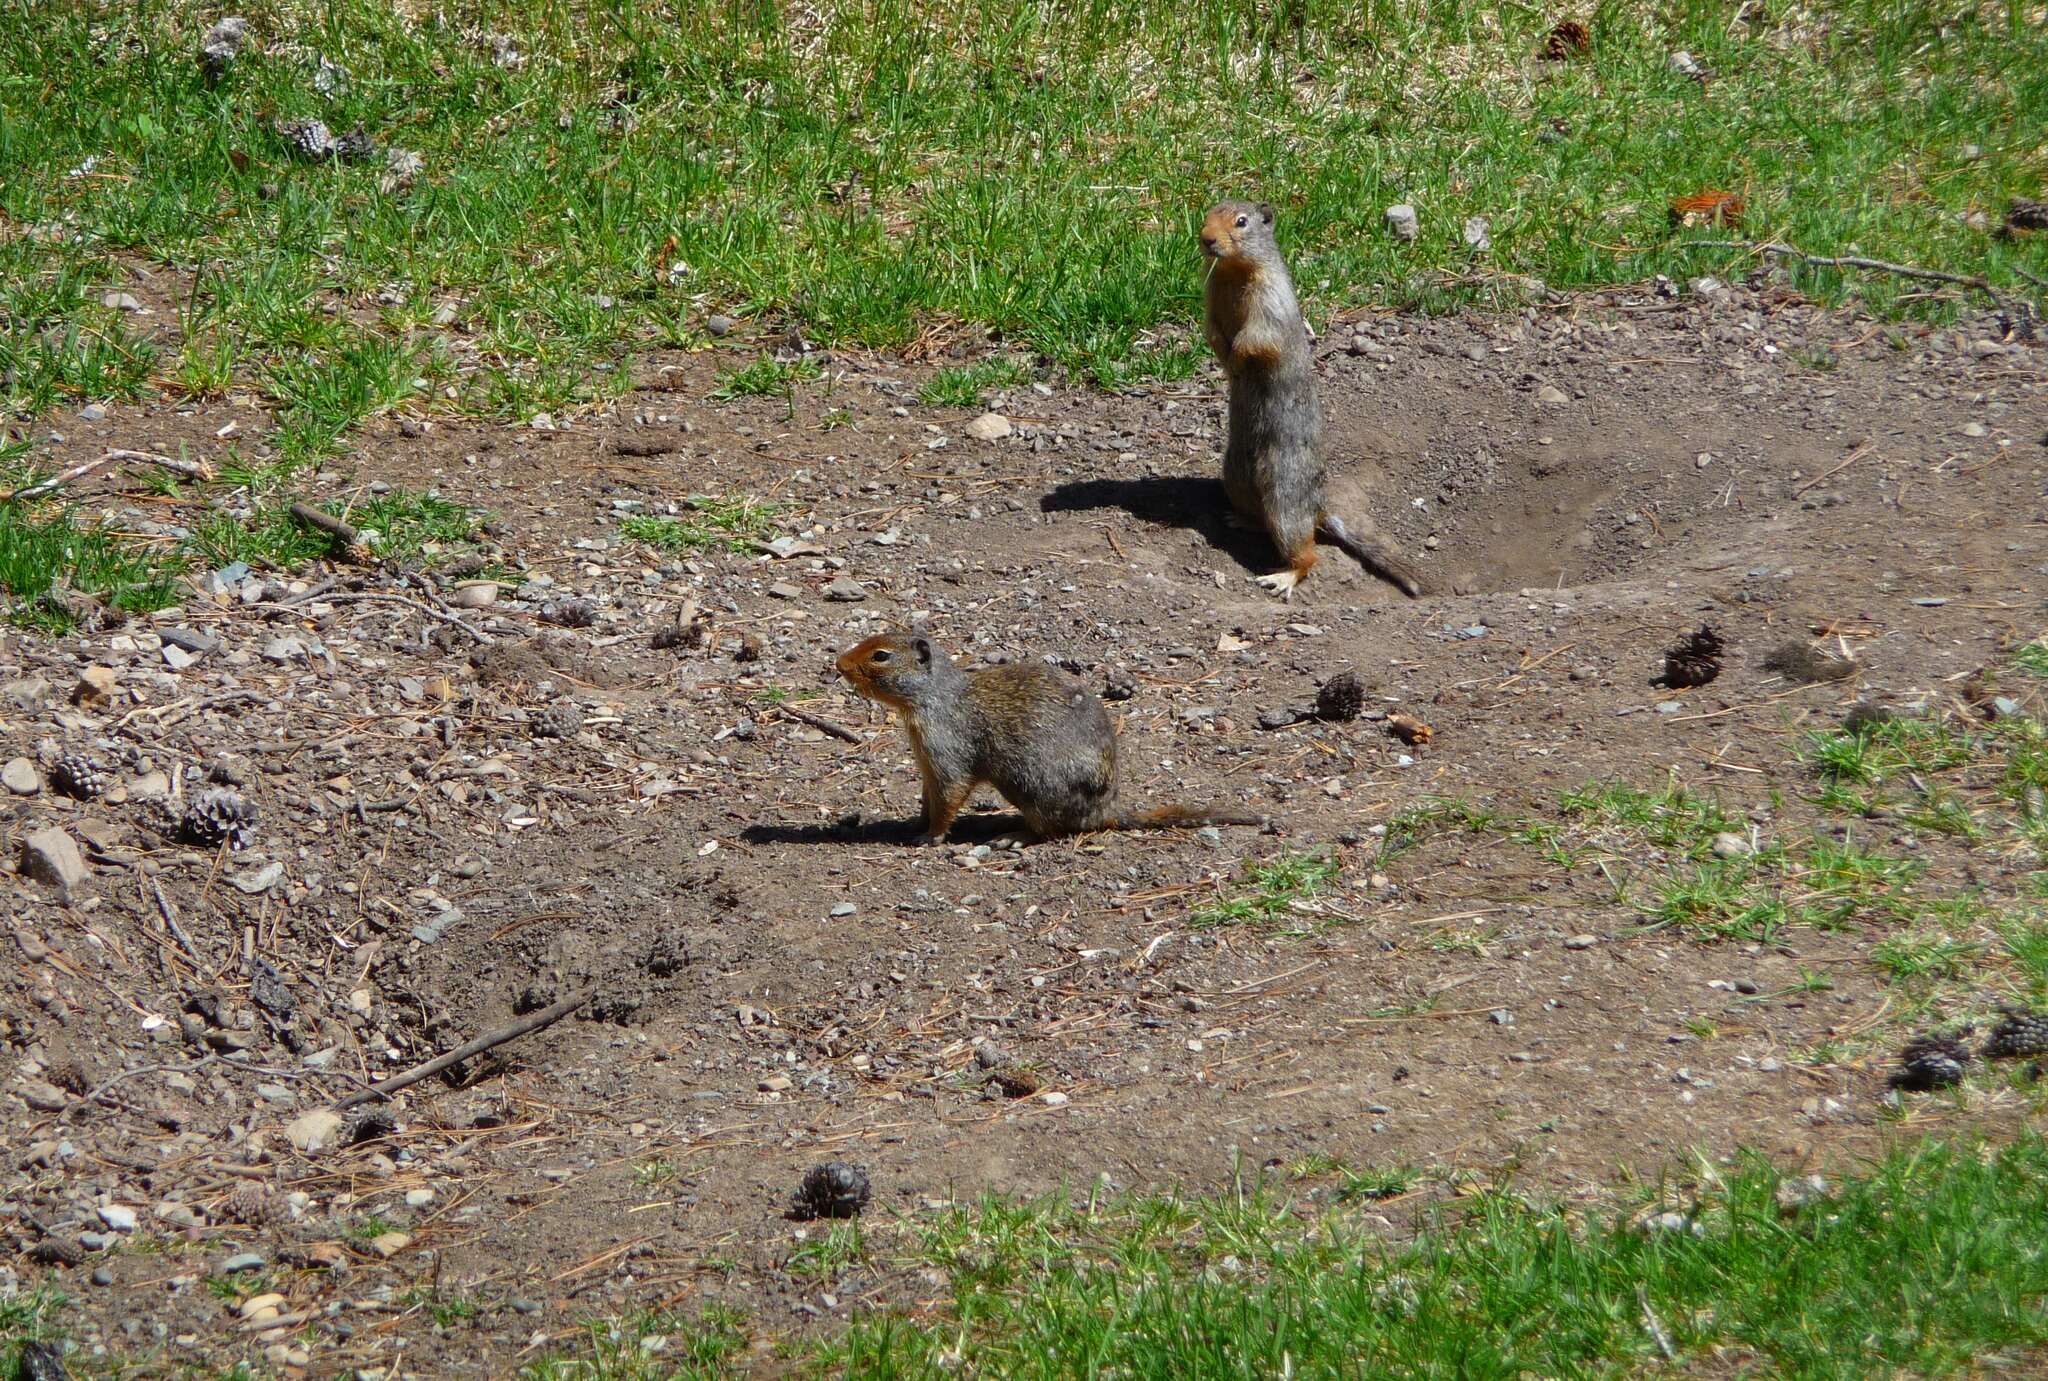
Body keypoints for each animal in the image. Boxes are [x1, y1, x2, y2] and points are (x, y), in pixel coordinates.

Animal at [831, 631, 1261, 840]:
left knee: (1050, 829)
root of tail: (1108, 810)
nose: (838, 664)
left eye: (881, 656)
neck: (932, 697)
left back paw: (1014, 836)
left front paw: (931, 837)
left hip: (1029, 785)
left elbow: (950, 798)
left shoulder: (948, 755)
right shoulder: (927, 766)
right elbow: (927, 798)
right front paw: (915, 824)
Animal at [1196, 197, 1425, 598]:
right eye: (1206, 215)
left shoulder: (1269, 304)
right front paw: (1225, 359)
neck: (1234, 272)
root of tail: (1319, 507)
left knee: (1307, 552)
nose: (1206, 239)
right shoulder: (1210, 298)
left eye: (1241, 222)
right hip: (1235, 477)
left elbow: (1255, 338)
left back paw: (1282, 578)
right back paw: (1239, 520)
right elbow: (1211, 331)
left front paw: (1236, 360)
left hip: (1284, 496)